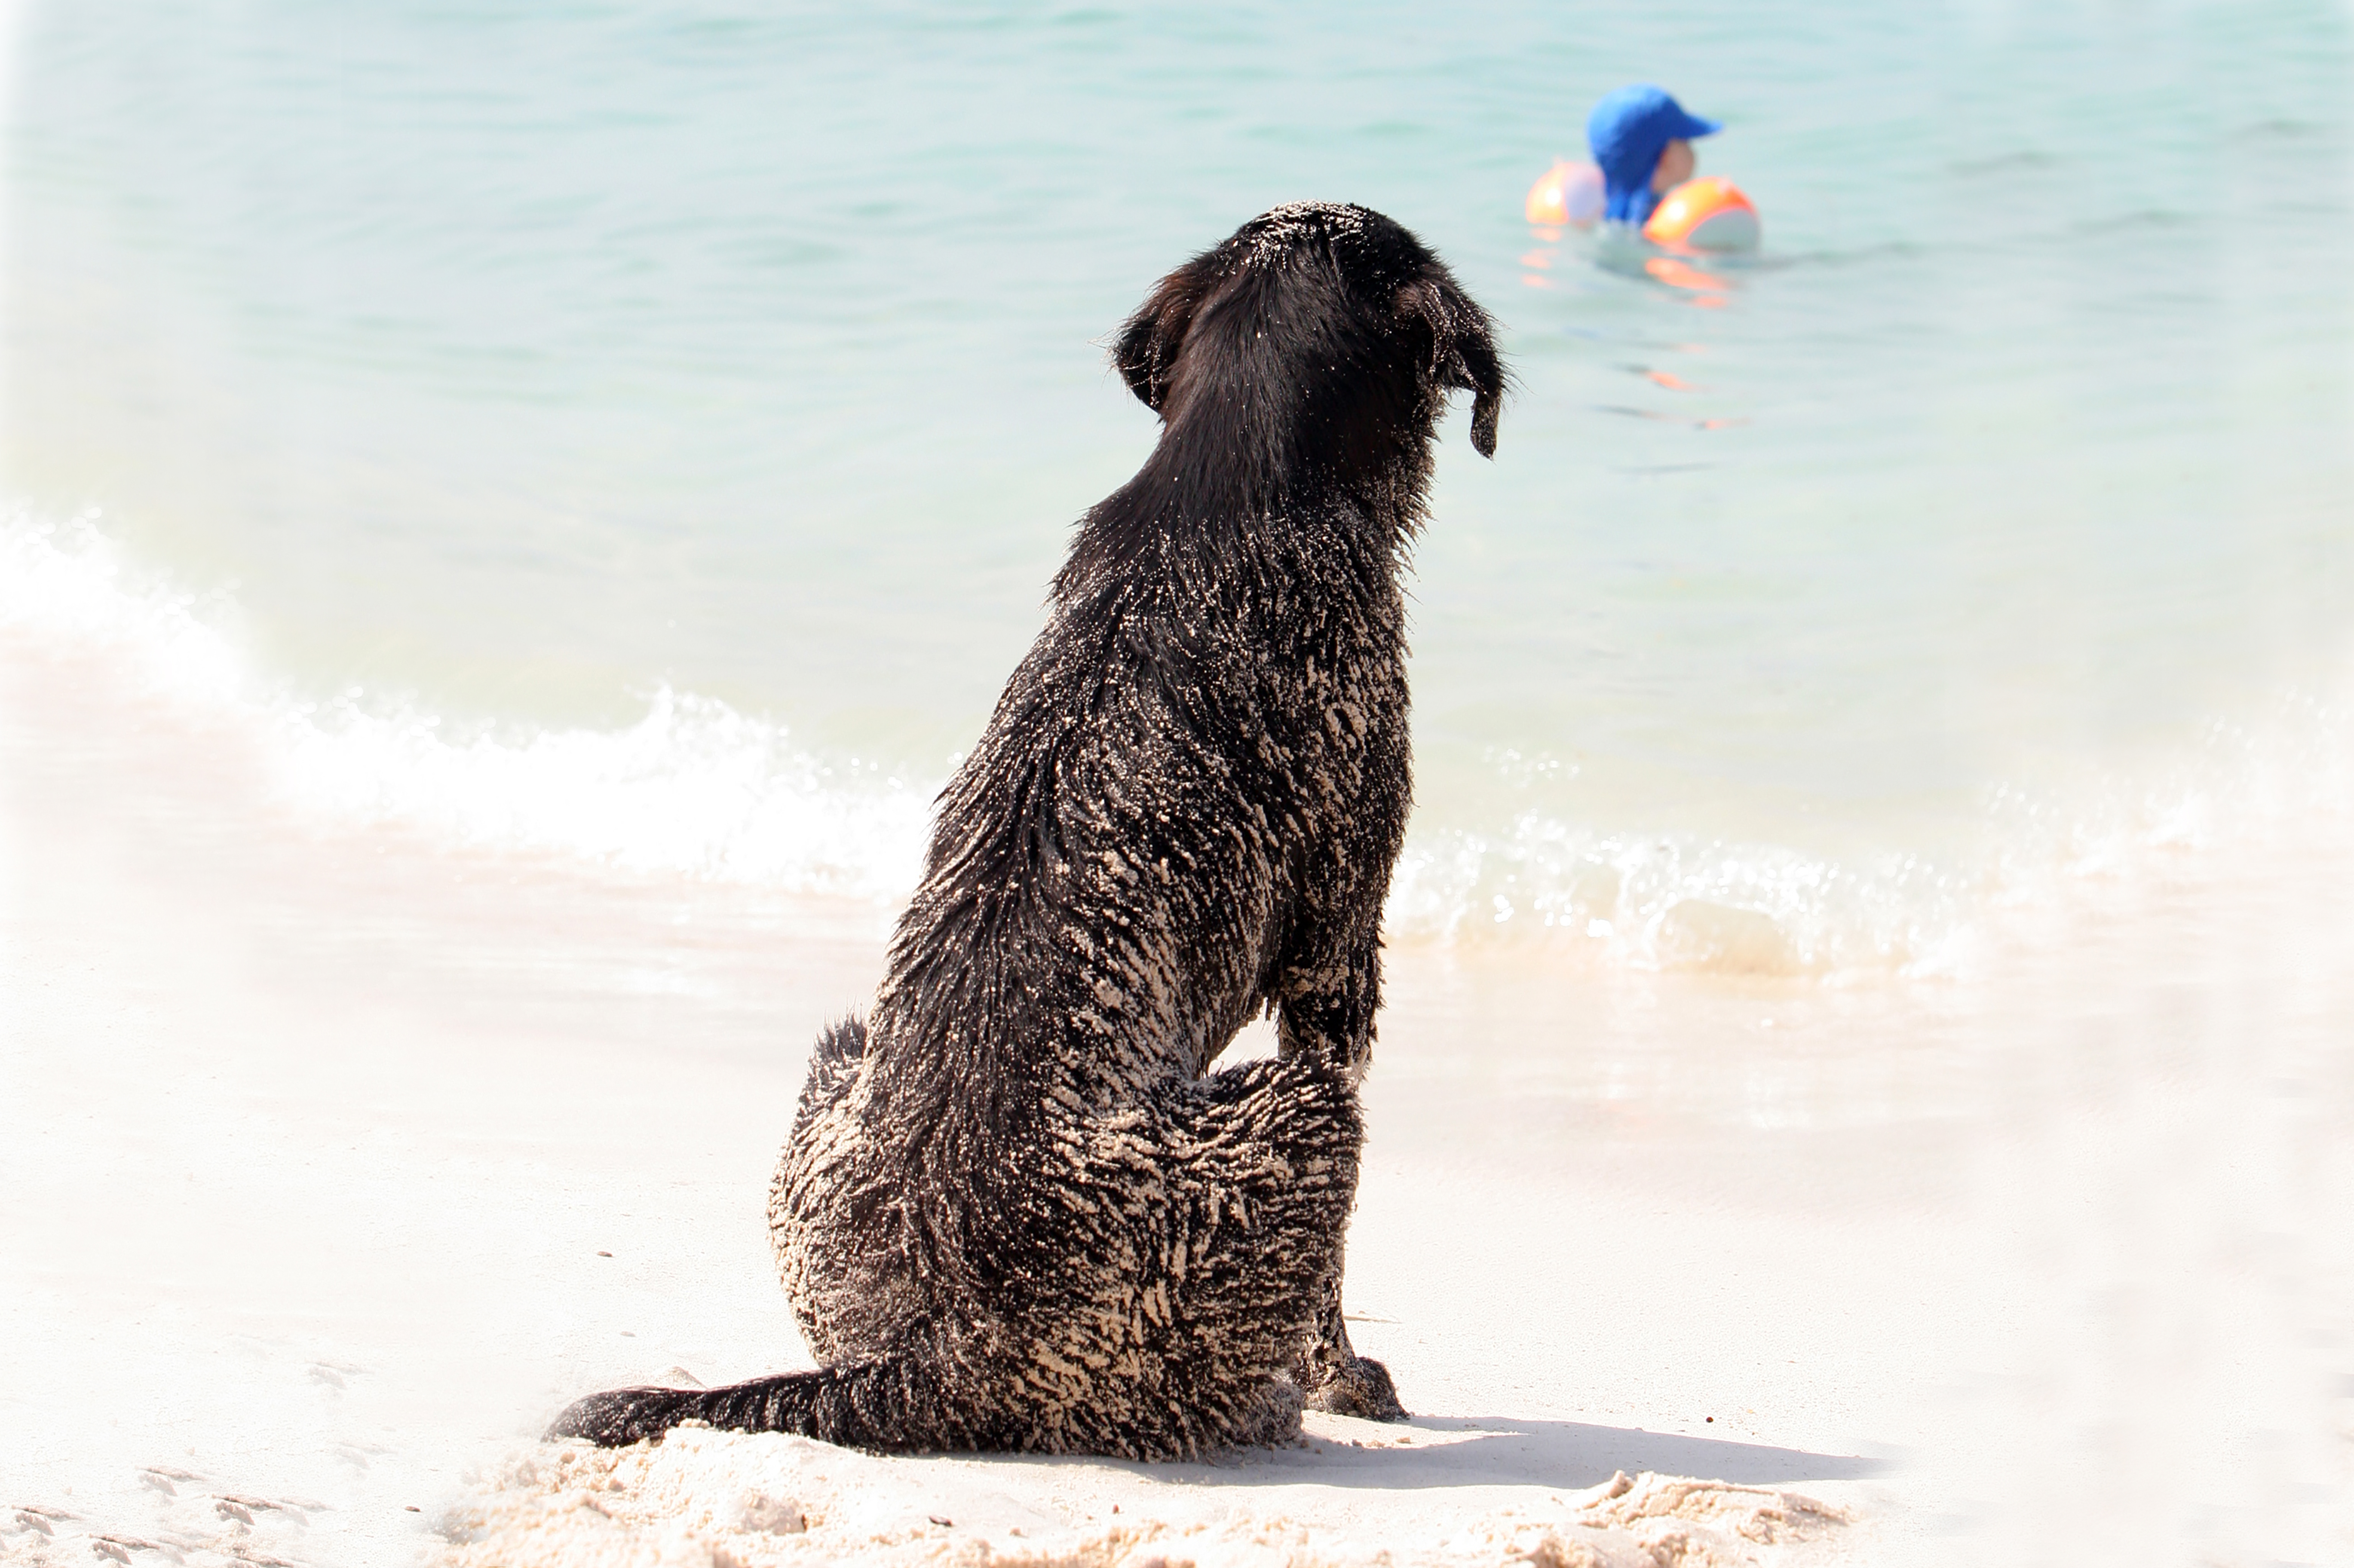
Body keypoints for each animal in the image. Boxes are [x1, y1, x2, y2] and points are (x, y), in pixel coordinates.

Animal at [553, 205, 1506, 1450]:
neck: (1234, 488)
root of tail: (922, 1356)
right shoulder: (1335, 959)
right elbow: (1333, 1289)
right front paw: (1344, 1377)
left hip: (835, 1064)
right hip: (1307, 1113)